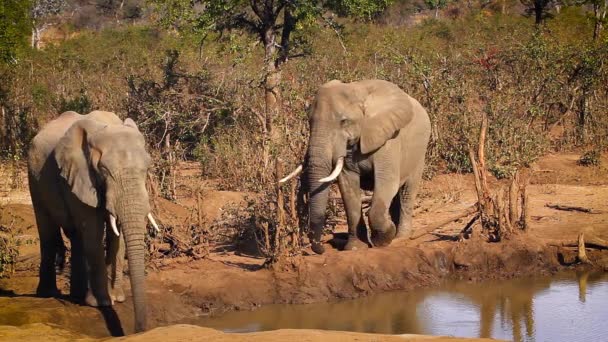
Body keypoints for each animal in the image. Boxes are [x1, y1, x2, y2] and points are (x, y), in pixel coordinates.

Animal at [27, 109, 158, 332]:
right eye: (103, 169)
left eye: (147, 168)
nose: (139, 330)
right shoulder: (81, 175)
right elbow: (94, 231)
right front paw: (103, 303)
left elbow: (118, 235)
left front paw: (118, 298)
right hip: (34, 177)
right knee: (48, 231)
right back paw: (47, 294)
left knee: (76, 236)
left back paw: (77, 296)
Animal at [282, 78, 432, 254]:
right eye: (310, 122)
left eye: (344, 121)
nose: (321, 248)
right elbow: (348, 188)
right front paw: (354, 248)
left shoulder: (389, 139)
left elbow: (387, 182)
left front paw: (381, 240)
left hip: (420, 152)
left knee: (407, 192)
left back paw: (401, 237)